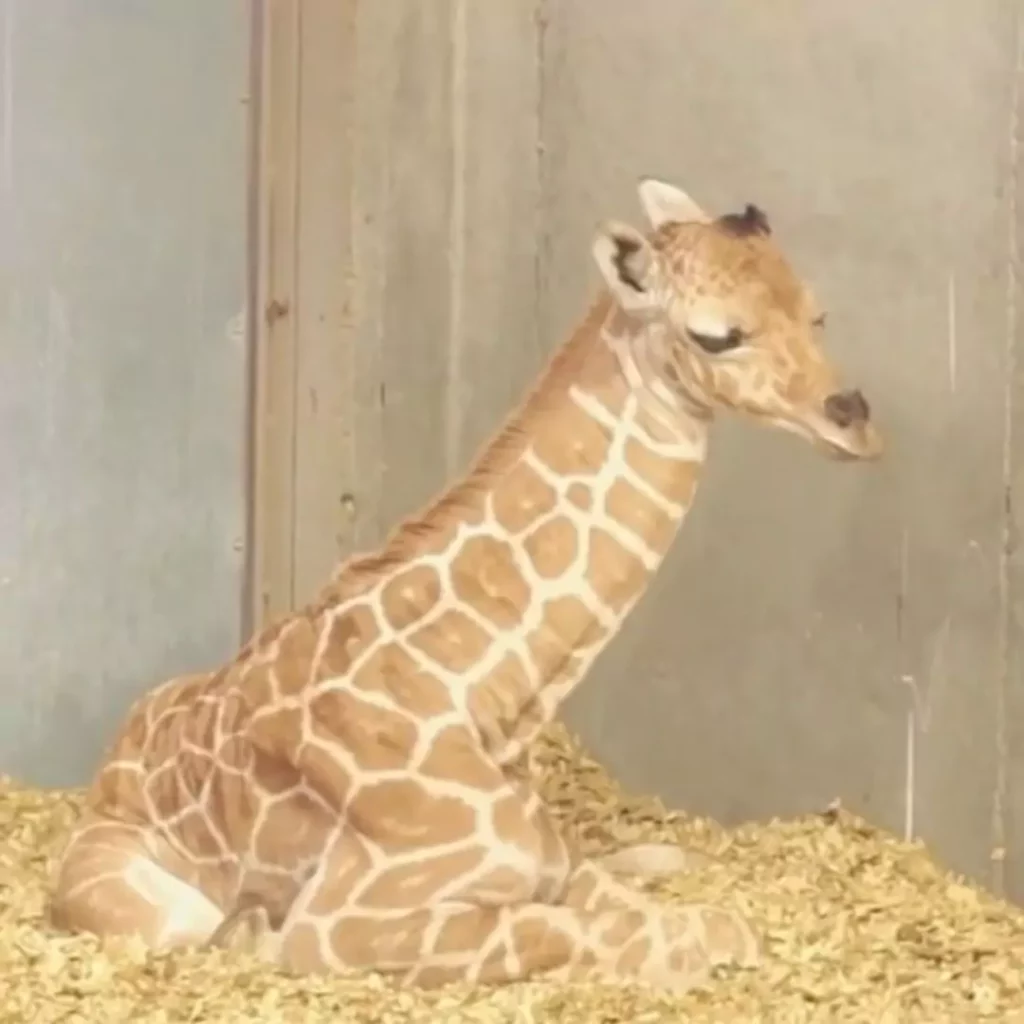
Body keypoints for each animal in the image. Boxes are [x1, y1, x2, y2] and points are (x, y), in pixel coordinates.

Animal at [46, 176, 880, 991]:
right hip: (156, 906)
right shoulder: (344, 923)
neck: (481, 696)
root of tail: (107, 770)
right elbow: (647, 933)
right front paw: (259, 933)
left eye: (817, 311)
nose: (854, 420)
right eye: (717, 335)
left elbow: (654, 912)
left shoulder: (551, 861)